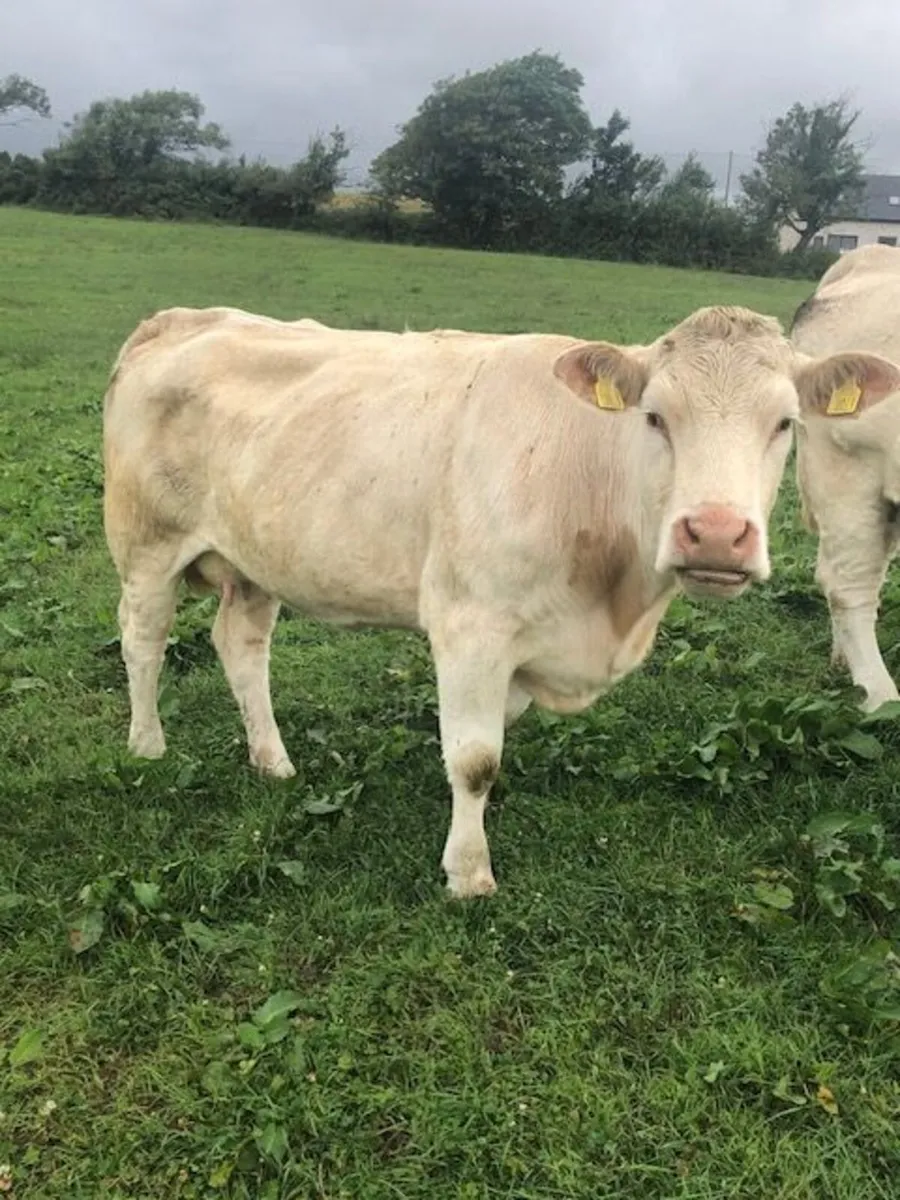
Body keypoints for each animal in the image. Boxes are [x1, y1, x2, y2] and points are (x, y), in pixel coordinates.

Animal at [102, 303, 900, 897]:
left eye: (785, 423)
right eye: (653, 417)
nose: (715, 534)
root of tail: (181, 318)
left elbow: (492, 739)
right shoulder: (470, 625)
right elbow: (476, 758)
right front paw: (468, 872)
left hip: (254, 560)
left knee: (241, 648)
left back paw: (272, 760)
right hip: (145, 543)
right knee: (143, 641)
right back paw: (146, 746)